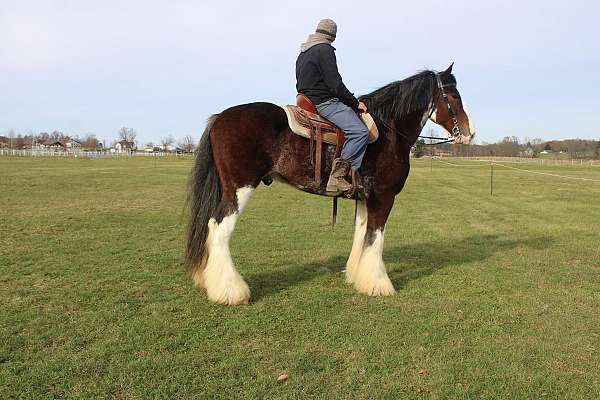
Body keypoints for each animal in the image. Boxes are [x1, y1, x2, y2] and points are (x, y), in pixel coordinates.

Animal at [185, 65, 476, 304]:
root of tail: (220, 118)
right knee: (218, 228)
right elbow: (376, 238)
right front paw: (379, 284)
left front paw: (357, 277)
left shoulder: (365, 198)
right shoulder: (383, 197)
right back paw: (230, 291)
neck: (389, 131)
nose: (470, 133)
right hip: (239, 188)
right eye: (453, 97)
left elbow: (362, 235)